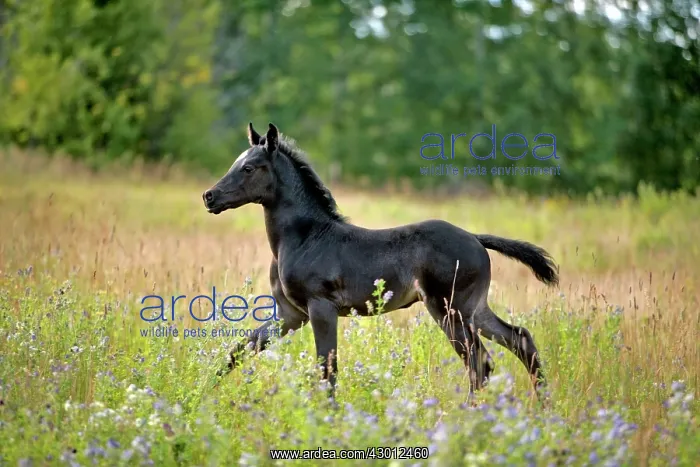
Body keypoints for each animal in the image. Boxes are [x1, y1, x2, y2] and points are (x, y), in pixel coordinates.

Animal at [203, 122, 559, 400]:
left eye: (249, 168)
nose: (209, 196)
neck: (305, 238)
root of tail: (474, 237)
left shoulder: (320, 308)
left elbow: (327, 369)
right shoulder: (291, 314)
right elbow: (240, 349)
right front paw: (203, 393)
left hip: (448, 308)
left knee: (479, 362)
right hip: (474, 308)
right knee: (520, 340)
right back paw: (542, 406)